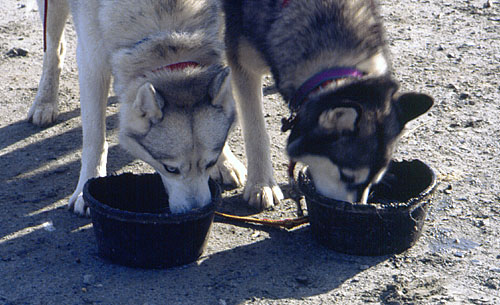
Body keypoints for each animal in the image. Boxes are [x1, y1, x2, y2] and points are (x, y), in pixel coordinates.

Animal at [27, 0, 246, 214]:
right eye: (170, 169)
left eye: (210, 163)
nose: (197, 210)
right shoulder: (92, 61)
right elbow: (94, 140)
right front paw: (85, 189)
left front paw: (225, 162)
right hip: (52, 10)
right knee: (54, 47)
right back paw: (44, 103)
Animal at [223, 0, 434, 208]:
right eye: (347, 176)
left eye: (373, 182)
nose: (354, 209)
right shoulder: (242, 61)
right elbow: (255, 131)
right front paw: (261, 184)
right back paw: (226, 164)